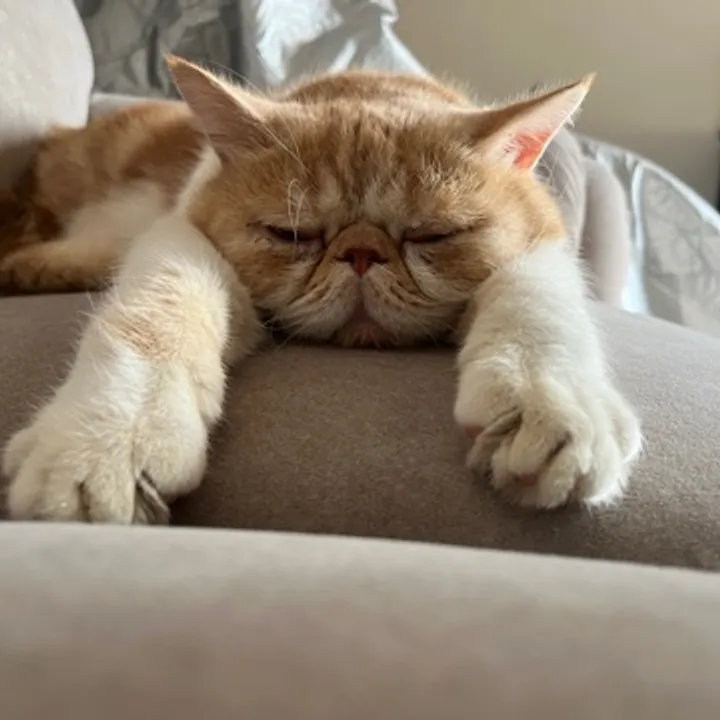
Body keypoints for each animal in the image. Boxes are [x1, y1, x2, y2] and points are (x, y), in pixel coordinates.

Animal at [1, 56, 641, 523]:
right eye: (293, 234)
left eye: (432, 234)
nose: (361, 253)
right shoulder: (179, 237)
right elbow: (151, 316)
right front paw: (103, 439)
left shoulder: (541, 249)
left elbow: (539, 309)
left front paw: (551, 404)